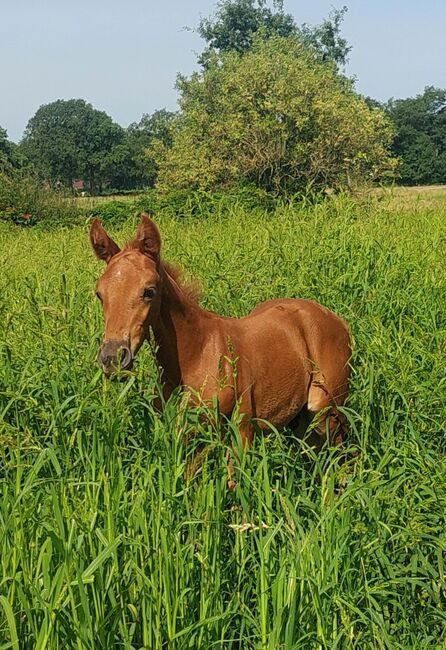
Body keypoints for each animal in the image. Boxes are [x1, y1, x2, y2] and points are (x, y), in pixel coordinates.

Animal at [89, 215, 350, 478]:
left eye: (149, 291)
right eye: (100, 294)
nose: (112, 358)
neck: (197, 354)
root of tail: (336, 319)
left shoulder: (242, 431)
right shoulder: (188, 436)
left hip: (327, 410)